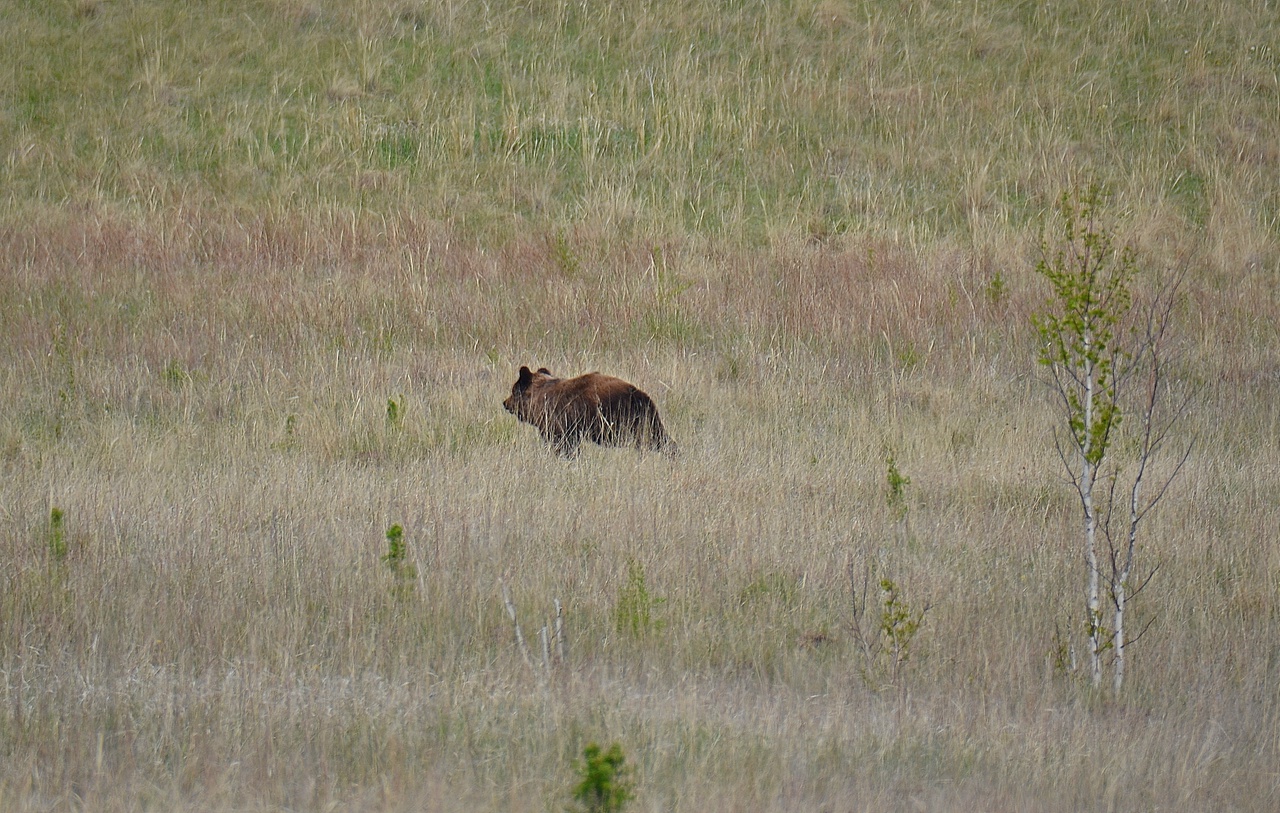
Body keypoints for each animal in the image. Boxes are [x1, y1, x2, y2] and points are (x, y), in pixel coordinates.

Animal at [501, 366, 680, 458]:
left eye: (513, 390)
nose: (505, 402)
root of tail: (640, 394)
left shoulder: (559, 423)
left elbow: (563, 445)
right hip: (648, 419)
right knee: (661, 438)